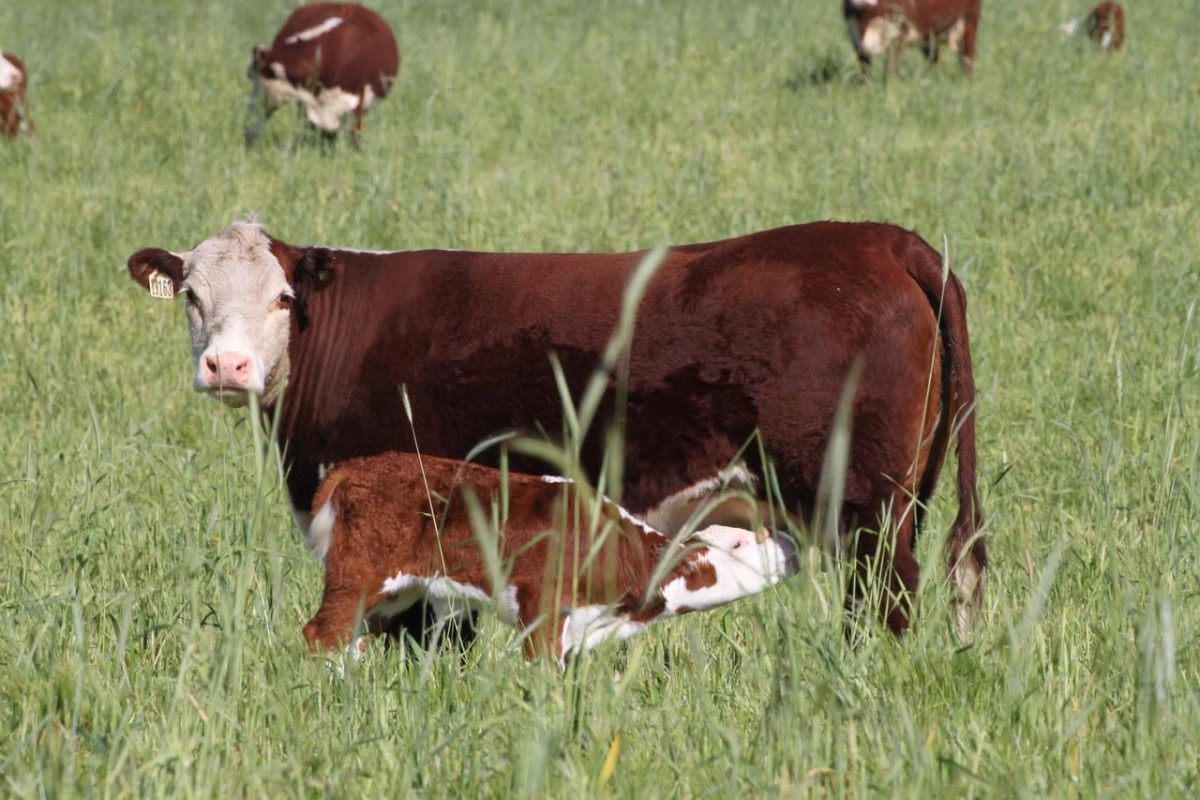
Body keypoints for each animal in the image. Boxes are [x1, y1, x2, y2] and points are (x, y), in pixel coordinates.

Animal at [121, 219, 984, 642]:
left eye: (282, 298)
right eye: (192, 295)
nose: (228, 366)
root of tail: (879, 237)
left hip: (865, 508)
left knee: (886, 598)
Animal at [300, 453, 796, 666]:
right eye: (740, 544)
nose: (789, 547)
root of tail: (354, 466)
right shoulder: (542, 606)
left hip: (397, 591)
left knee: (354, 639)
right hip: (358, 576)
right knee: (322, 634)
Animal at [844, 0, 984, 73]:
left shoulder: (898, 30)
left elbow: (891, 66)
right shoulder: (854, 34)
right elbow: (865, 68)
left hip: (969, 20)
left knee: (967, 58)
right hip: (929, 33)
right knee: (933, 58)